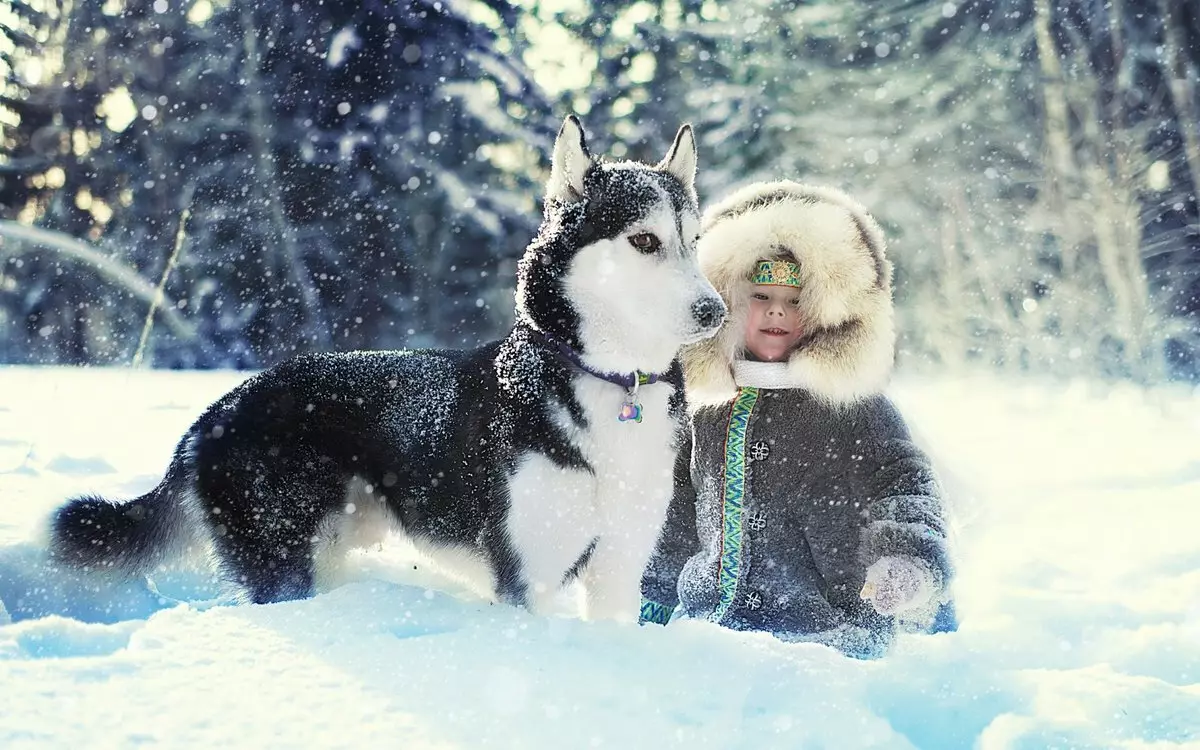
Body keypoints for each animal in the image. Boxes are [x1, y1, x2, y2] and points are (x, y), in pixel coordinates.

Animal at [49, 117, 720, 619]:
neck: (608, 383)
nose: (714, 311)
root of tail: (214, 413)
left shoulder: (619, 570)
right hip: (286, 561)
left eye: (694, 240)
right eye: (644, 241)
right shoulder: (528, 580)